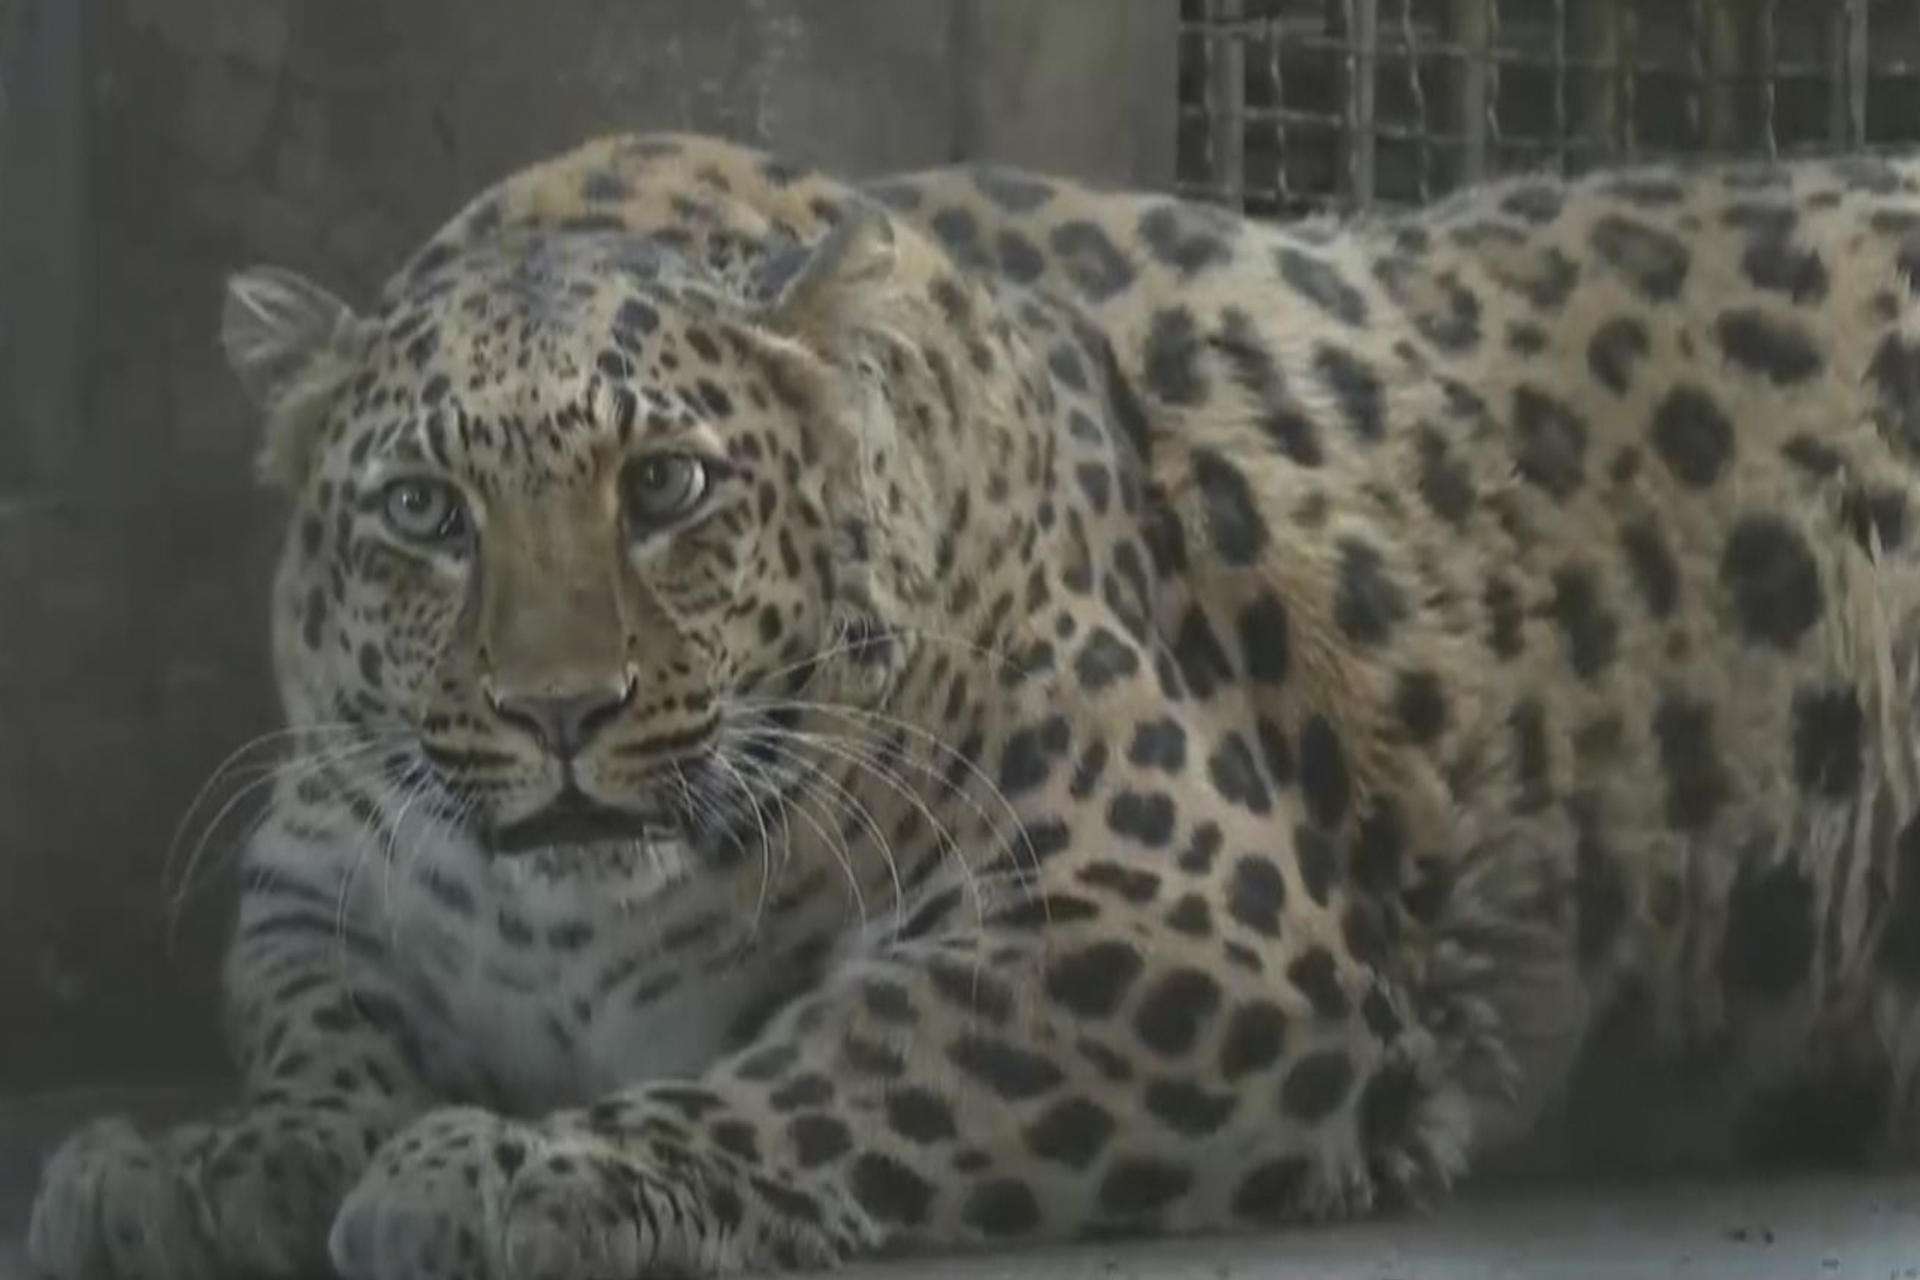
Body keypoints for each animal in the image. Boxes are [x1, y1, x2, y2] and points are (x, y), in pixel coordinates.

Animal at [26, 127, 1920, 1280]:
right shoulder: (316, 886)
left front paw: (509, 1175)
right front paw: (202, 1163)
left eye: (667, 487)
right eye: (427, 514)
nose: (563, 712)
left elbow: (845, 1063)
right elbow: (319, 1029)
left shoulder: (1171, 919)